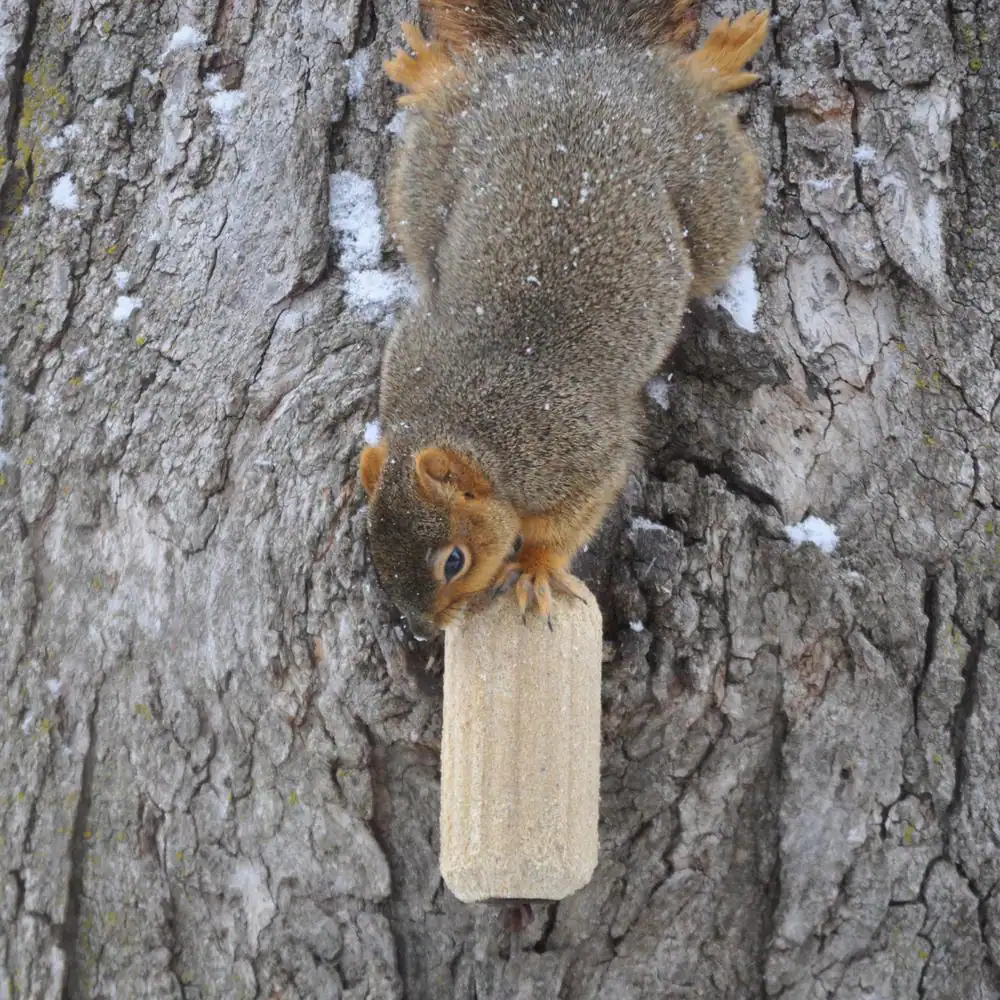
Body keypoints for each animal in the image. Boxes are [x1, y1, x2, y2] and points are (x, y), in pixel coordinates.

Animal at [359, 0, 768, 638]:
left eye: (454, 560)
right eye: (376, 553)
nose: (423, 630)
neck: (458, 415)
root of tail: (575, 57)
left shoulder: (576, 452)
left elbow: (572, 518)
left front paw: (536, 567)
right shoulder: (408, 353)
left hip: (705, 179)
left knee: (703, 121)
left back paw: (717, 61)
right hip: (433, 165)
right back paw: (427, 71)